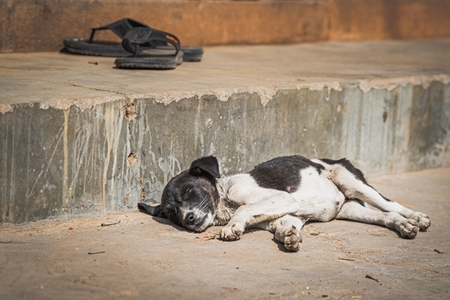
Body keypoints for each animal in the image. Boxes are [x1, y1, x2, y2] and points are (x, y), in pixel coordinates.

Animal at [139, 155, 430, 251]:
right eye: (172, 214)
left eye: (189, 191)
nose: (187, 220)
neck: (225, 202)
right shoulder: (287, 214)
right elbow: (282, 228)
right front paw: (289, 237)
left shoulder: (282, 198)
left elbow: (245, 208)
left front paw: (233, 228)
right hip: (349, 209)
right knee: (385, 216)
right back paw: (404, 226)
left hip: (351, 179)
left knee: (391, 204)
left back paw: (416, 217)